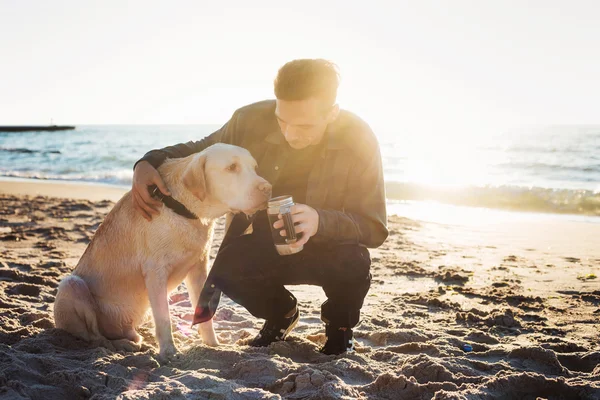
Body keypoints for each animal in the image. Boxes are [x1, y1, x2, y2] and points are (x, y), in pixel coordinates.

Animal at [54, 143, 270, 360]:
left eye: (255, 167)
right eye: (232, 167)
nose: (267, 189)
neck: (184, 209)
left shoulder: (199, 269)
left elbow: (205, 313)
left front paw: (213, 345)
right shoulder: (155, 272)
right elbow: (164, 318)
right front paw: (169, 352)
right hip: (71, 285)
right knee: (95, 337)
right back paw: (122, 345)